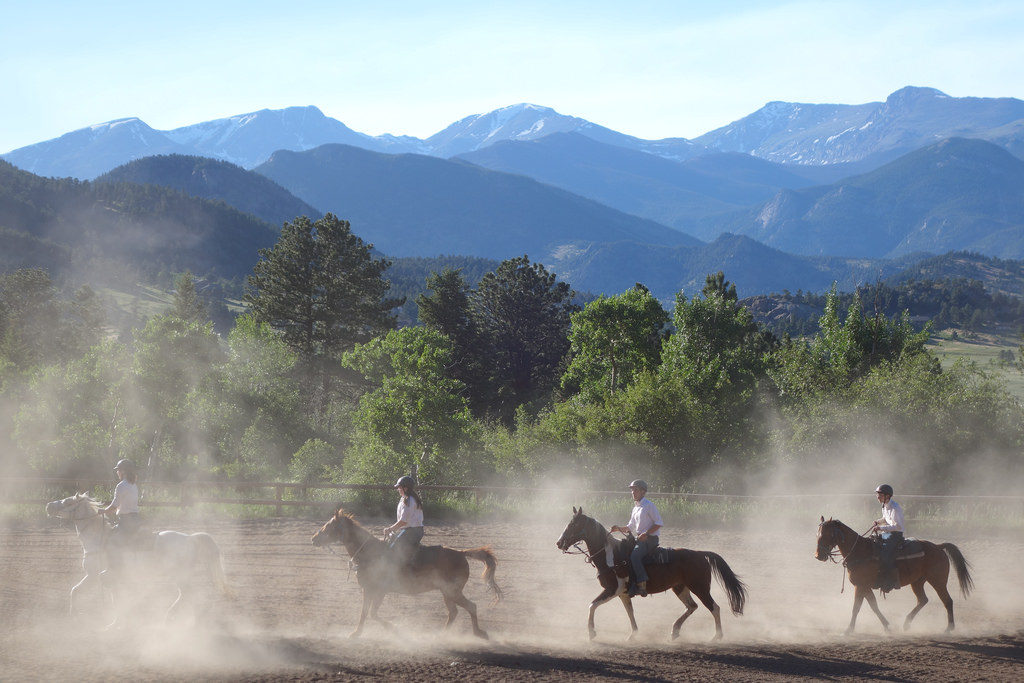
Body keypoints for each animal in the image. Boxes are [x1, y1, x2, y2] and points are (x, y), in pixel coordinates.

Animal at [45, 493, 233, 622]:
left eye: (68, 501)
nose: (48, 506)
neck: (98, 539)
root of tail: (190, 538)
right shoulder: (102, 577)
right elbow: (86, 592)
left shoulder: (93, 575)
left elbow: (76, 591)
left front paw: (75, 615)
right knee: (189, 595)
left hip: (179, 575)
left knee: (188, 595)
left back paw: (169, 617)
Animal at [311, 507, 503, 643]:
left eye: (328, 526)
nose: (313, 539)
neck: (370, 553)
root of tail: (461, 553)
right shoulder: (368, 589)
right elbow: (364, 613)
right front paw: (356, 633)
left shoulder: (380, 591)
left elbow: (372, 613)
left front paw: (394, 629)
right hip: (447, 593)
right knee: (454, 612)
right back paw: (440, 636)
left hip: (452, 591)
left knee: (471, 606)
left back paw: (479, 634)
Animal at [561, 507, 745, 643]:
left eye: (573, 524)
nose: (558, 542)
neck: (612, 556)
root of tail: (700, 554)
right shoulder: (623, 594)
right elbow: (630, 613)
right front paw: (633, 635)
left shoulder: (613, 589)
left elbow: (592, 605)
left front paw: (591, 633)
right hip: (680, 587)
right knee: (692, 606)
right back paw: (674, 631)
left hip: (700, 588)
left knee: (714, 608)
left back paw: (716, 637)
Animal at [811, 518, 970, 634]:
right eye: (817, 534)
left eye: (826, 535)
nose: (818, 556)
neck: (860, 552)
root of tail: (938, 546)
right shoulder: (864, 586)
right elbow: (873, 605)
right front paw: (887, 626)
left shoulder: (861, 586)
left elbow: (857, 607)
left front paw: (848, 630)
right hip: (917, 582)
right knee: (922, 600)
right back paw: (906, 624)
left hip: (938, 581)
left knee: (947, 601)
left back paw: (949, 628)